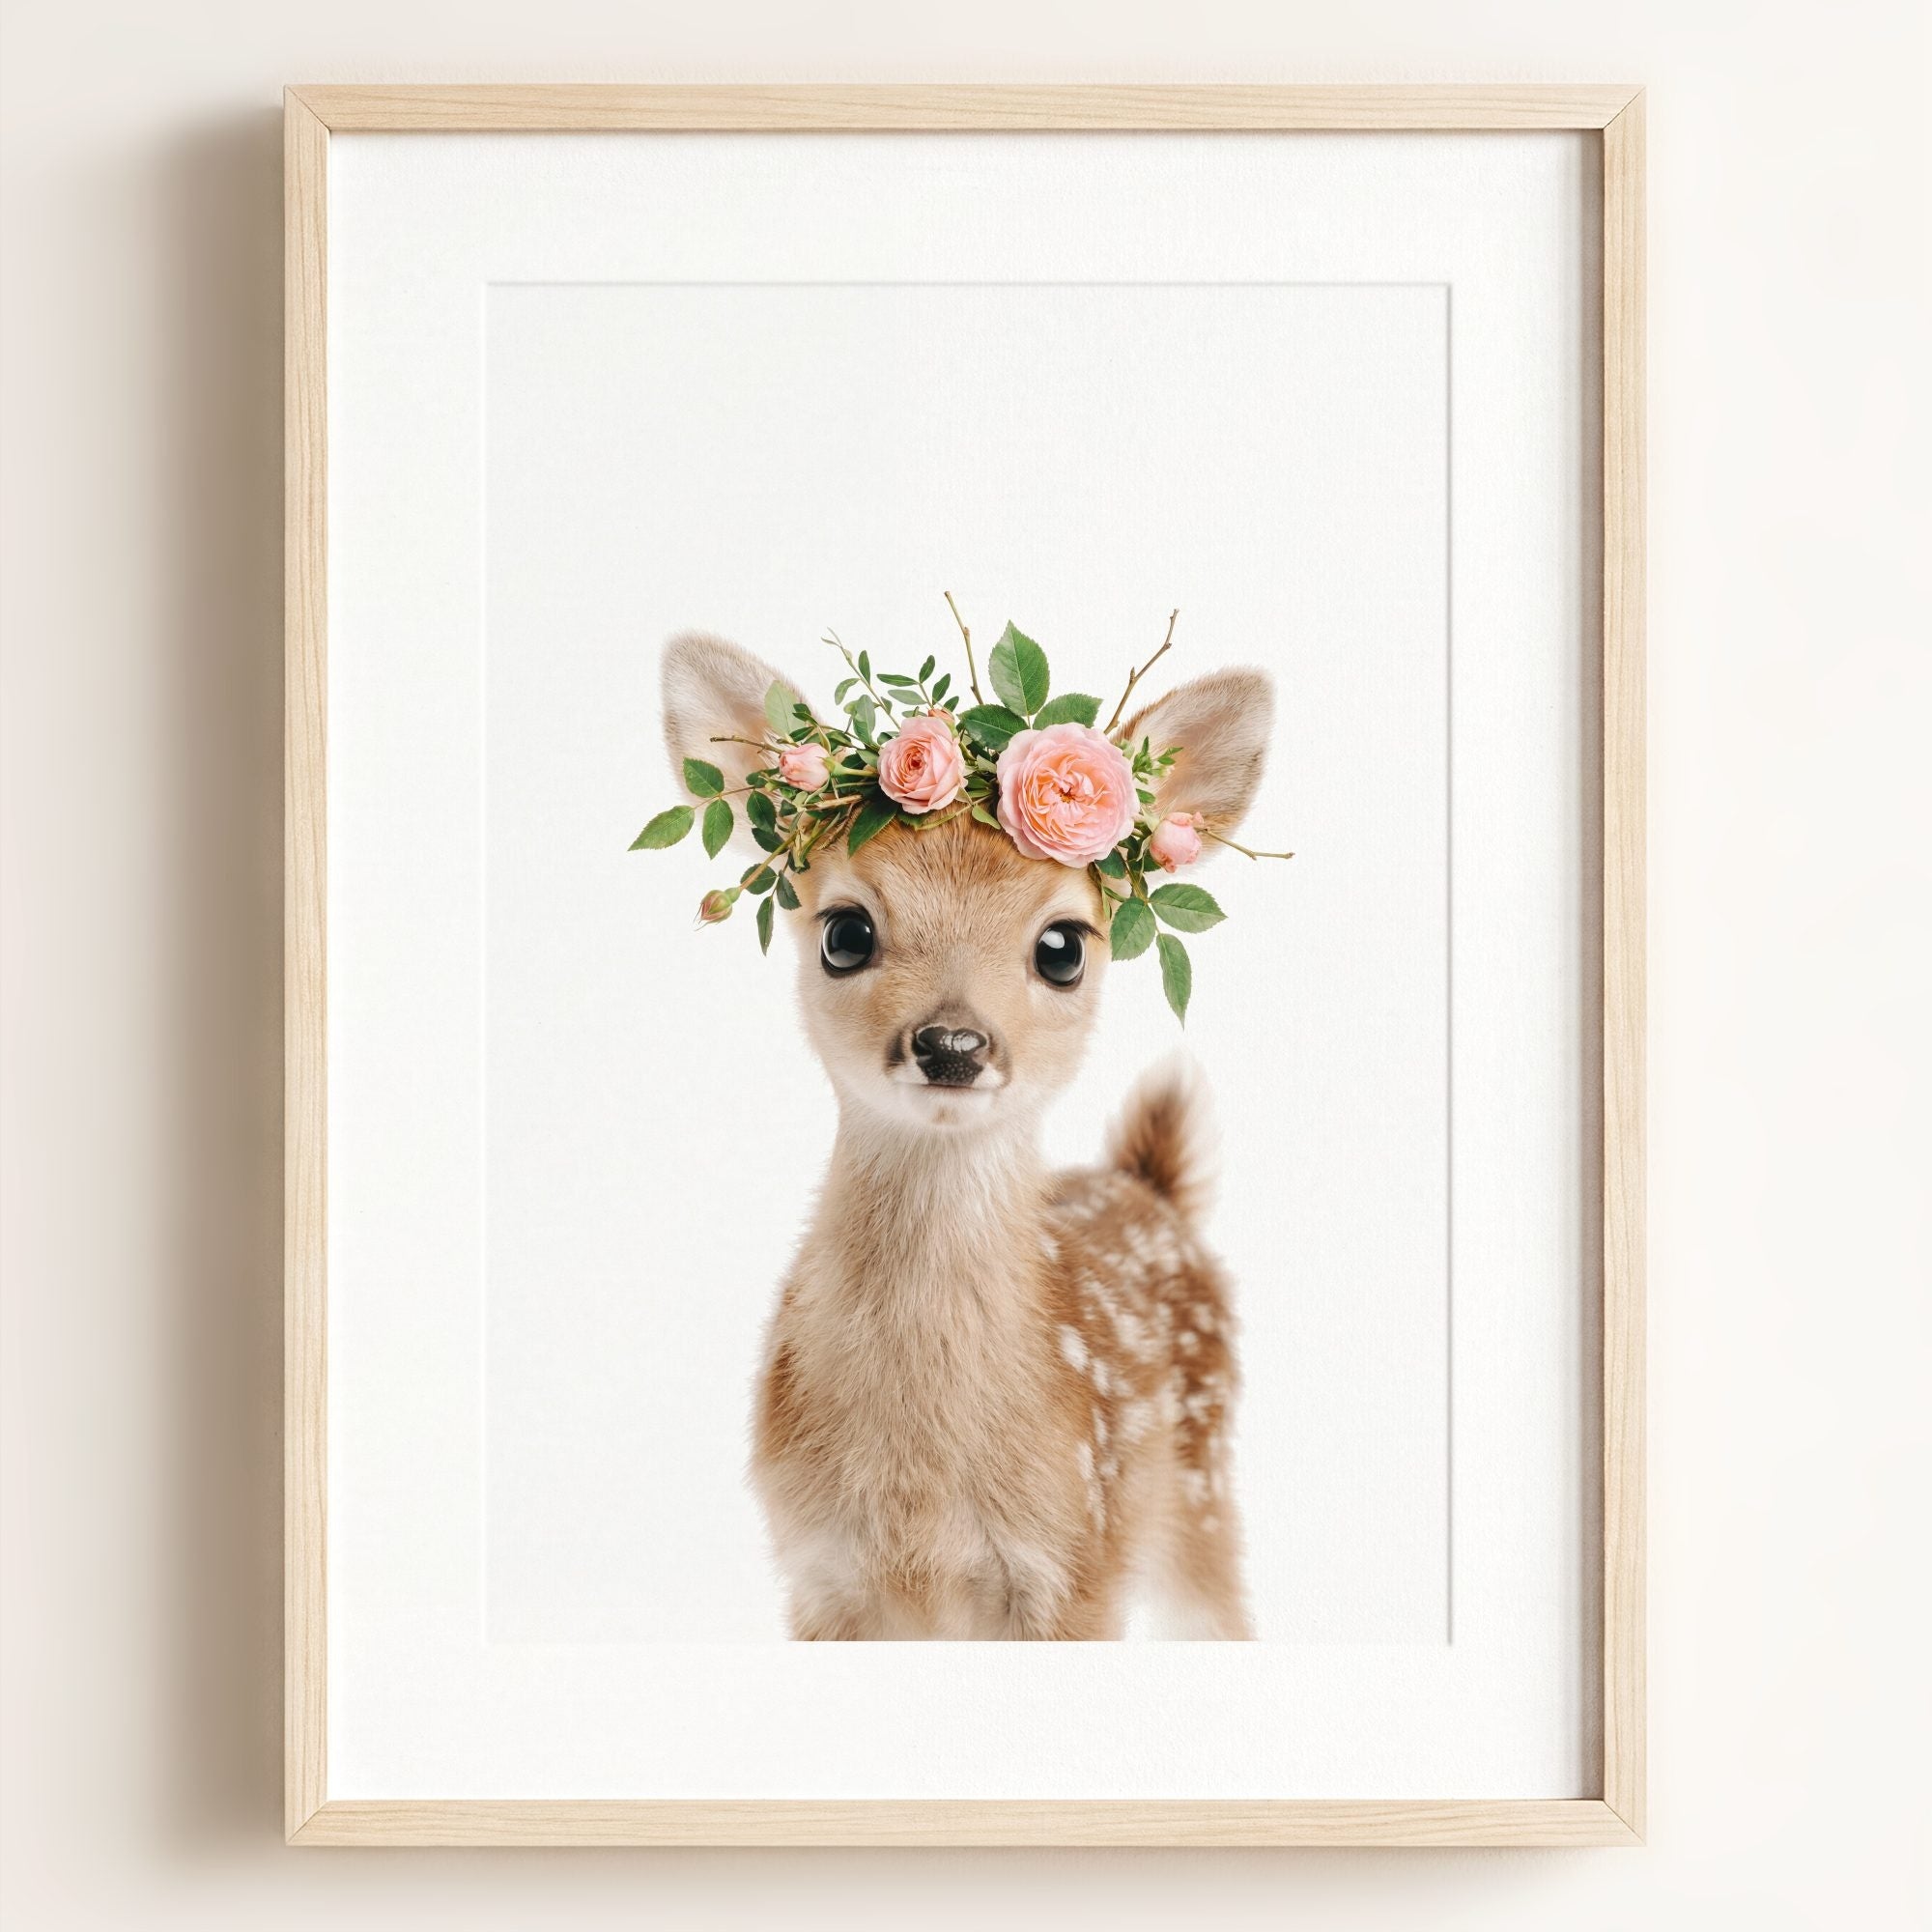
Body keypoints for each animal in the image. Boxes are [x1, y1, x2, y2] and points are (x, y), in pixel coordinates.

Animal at [660, 631, 1275, 1639]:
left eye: (1063, 947)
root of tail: (1149, 1186)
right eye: (845, 933)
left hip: (1203, 1491)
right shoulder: (818, 1573)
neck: (921, 1494)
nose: (952, 1044)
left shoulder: (1076, 1564)